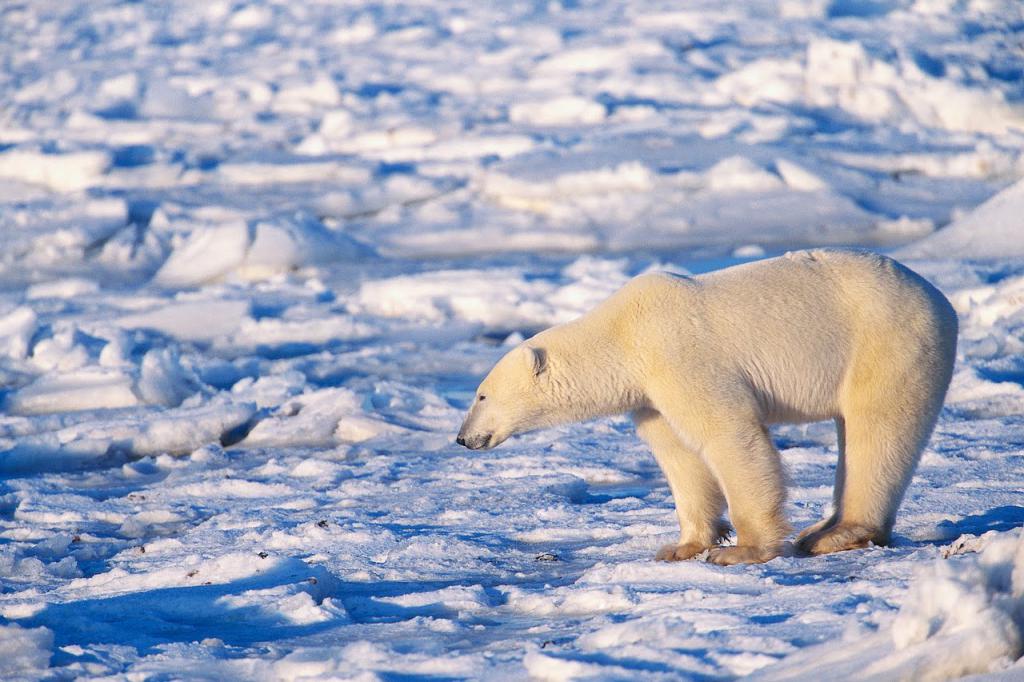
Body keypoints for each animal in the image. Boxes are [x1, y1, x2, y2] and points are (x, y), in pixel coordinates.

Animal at [458, 249, 958, 561]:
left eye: (481, 394)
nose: (463, 438)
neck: (623, 335)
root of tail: (943, 301)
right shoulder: (651, 394)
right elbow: (679, 456)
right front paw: (681, 546)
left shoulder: (680, 354)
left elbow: (729, 434)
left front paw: (742, 550)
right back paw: (821, 529)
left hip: (888, 345)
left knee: (876, 433)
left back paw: (837, 533)